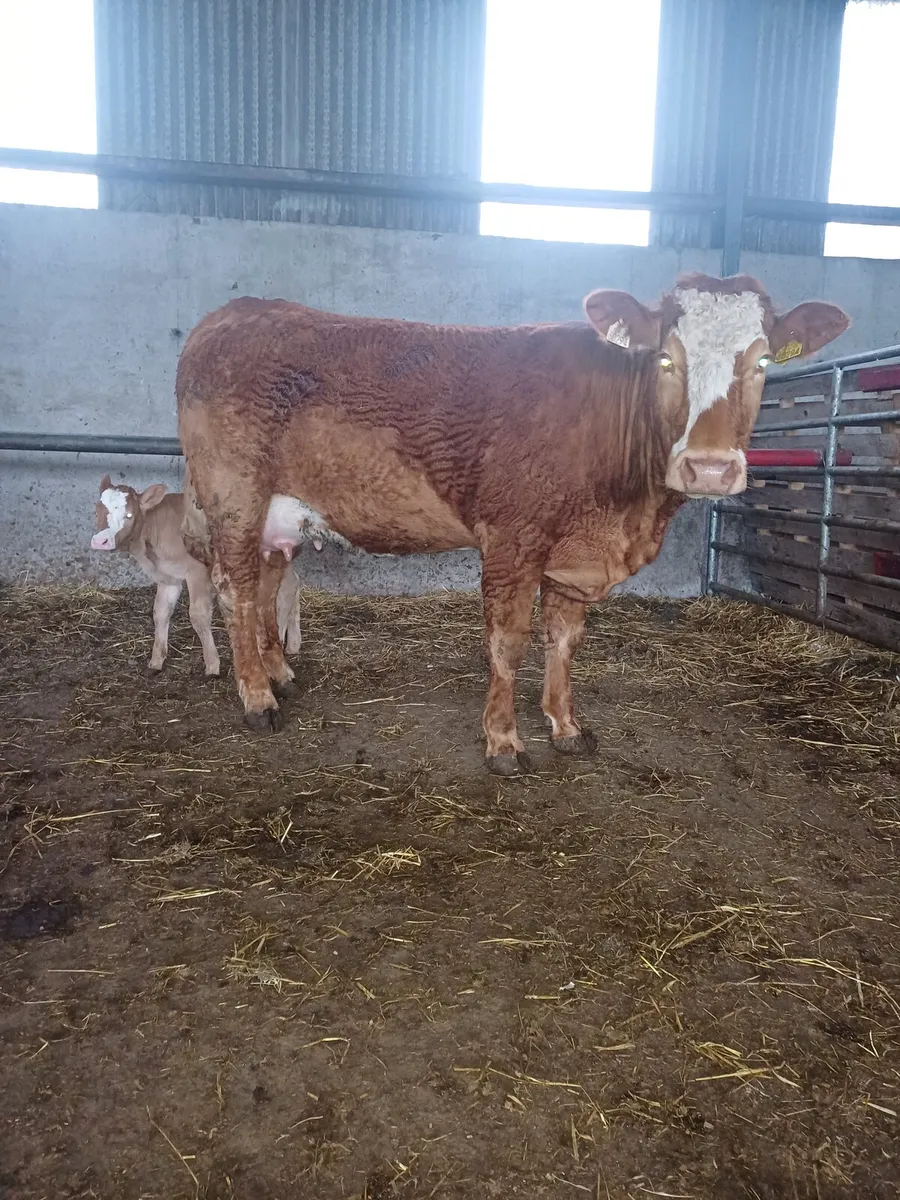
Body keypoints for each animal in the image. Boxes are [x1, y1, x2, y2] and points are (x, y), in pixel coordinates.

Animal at [90, 476, 302, 676]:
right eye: (97, 511)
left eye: (128, 515)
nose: (100, 541)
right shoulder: (168, 577)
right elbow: (160, 612)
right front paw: (156, 662)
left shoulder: (197, 572)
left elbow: (198, 616)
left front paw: (212, 665)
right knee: (295, 584)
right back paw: (293, 644)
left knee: (286, 590)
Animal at [175, 274, 849, 774]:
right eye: (665, 356)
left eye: (763, 360)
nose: (709, 468)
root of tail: (234, 312)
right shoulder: (510, 537)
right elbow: (508, 642)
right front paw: (503, 741)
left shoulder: (575, 557)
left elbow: (564, 640)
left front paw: (566, 726)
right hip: (234, 494)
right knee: (235, 587)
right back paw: (257, 698)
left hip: (276, 513)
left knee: (265, 584)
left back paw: (279, 674)